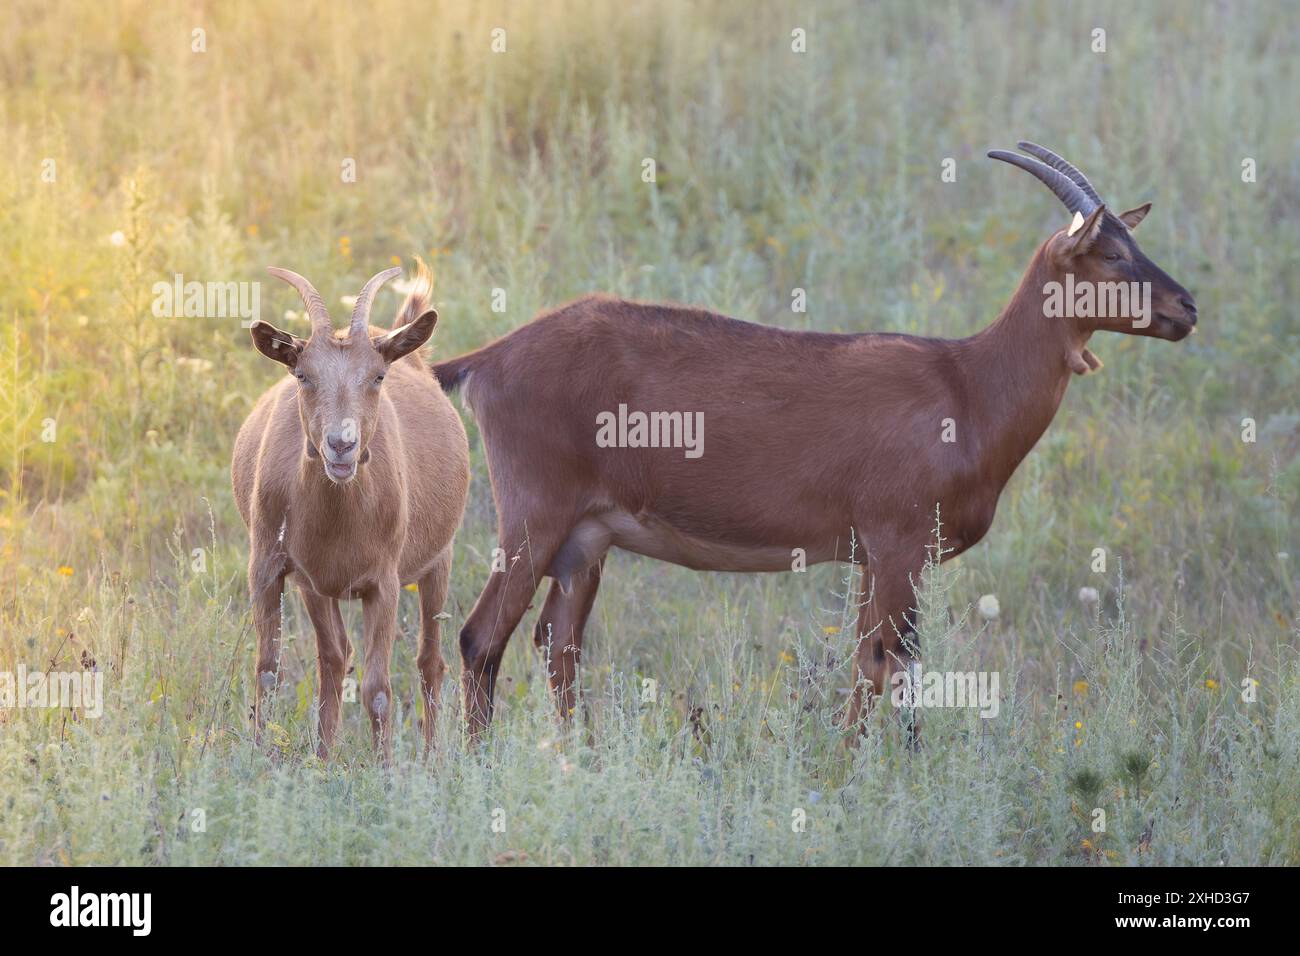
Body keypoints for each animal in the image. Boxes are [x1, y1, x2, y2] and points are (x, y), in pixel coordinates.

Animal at [232, 261, 467, 764]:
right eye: (302, 375)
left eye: (377, 376)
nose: (341, 445)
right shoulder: (272, 567)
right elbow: (268, 671)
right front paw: (260, 762)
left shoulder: (384, 582)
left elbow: (378, 689)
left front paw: (385, 772)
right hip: (316, 587)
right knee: (336, 657)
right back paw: (324, 759)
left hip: (439, 558)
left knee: (430, 660)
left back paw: (432, 760)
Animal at [431, 143, 1190, 738]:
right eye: (1110, 252)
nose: (1187, 308)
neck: (966, 384)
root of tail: (488, 359)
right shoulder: (898, 546)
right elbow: (896, 667)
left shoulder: (871, 557)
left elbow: (867, 665)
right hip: (533, 521)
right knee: (479, 639)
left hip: (584, 545)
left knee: (555, 647)